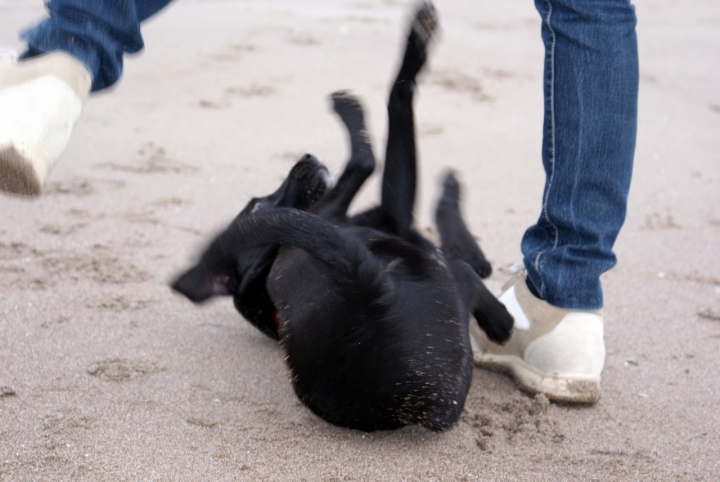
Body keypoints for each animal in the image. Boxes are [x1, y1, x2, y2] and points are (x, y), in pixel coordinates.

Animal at [173, 2, 512, 434]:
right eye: (256, 207)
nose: (304, 158)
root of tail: (370, 294)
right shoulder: (387, 214)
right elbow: (392, 124)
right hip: (430, 273)